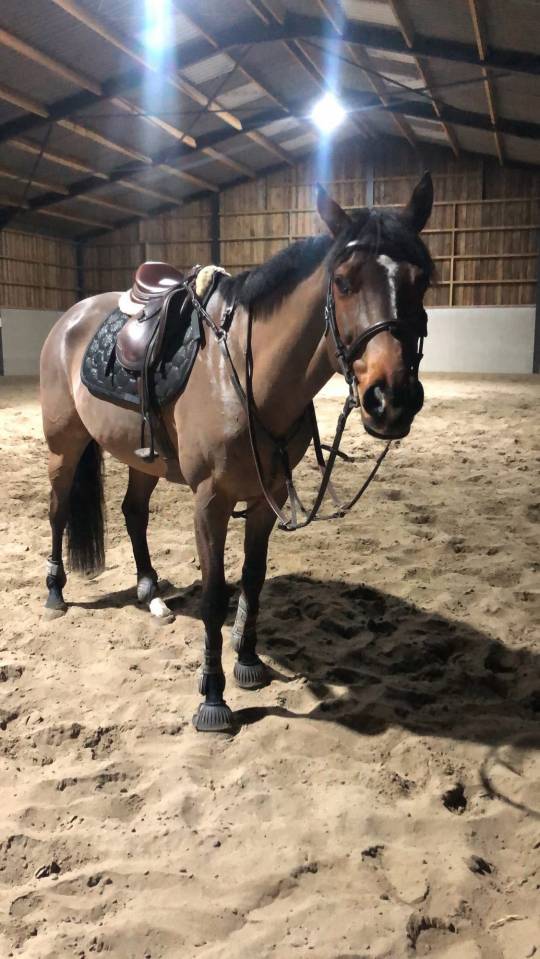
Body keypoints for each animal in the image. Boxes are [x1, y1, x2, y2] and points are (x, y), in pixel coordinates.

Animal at [40, 172, 434, 732]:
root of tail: (70, 318)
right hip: (65, 446)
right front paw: (213, 696)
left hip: (143, 458)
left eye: (422, 280)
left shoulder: (268, 499)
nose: (391, 399)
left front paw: (247, 660)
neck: (247, 375)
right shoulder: (211, 500)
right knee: (57, 511)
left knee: (133, 512)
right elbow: (213, 594)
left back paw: (150, 593)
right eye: (343, 281)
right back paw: (56, 592)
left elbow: (252, 579)